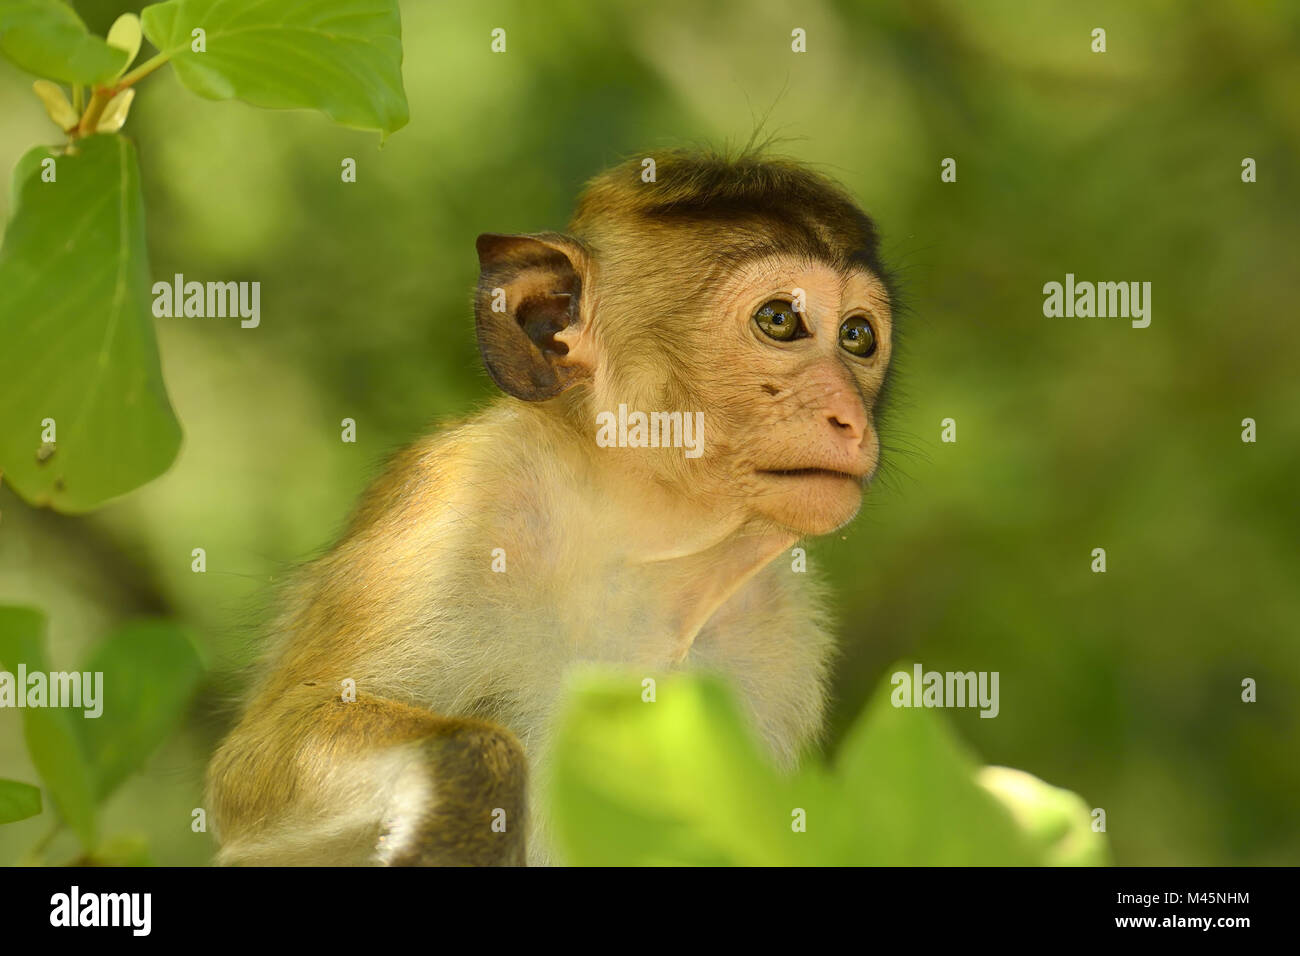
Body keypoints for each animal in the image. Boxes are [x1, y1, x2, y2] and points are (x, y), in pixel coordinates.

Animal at [206, 147, 898, 866]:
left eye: (857, 336)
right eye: (780, 321)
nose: (849, 418)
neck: (638, 548)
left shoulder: (781, 633)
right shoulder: (459, 507)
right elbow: (254, 764)